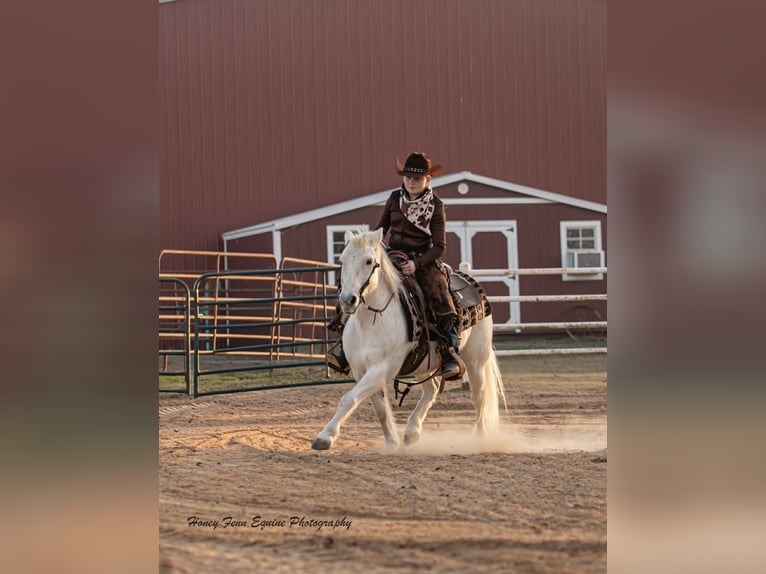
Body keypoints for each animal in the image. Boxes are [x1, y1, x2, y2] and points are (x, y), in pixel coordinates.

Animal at [311, 228, 506, 451]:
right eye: (342, 260)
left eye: (369, 261)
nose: (347, 300)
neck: (371, 321)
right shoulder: (361, 371)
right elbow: (379, 408)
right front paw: (391, 443)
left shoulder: (382, 369)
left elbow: (349, 399)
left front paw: (325, 437)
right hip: (427, 364)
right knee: (431, 391)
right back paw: (412, 431)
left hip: (475, 360)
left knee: (479, 396)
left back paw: (481, 438)